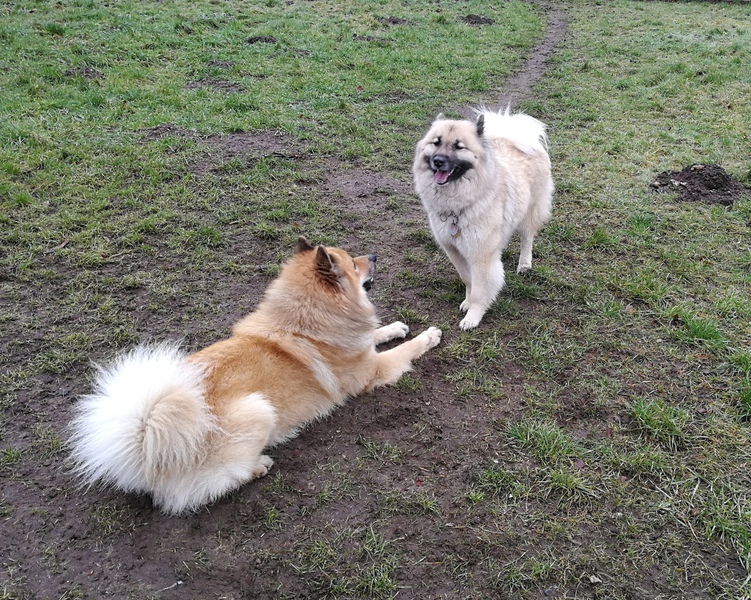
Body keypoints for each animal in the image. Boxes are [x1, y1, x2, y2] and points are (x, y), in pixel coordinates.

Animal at [68, 237, 442, 514]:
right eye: (353, 263)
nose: (374, 255)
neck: (304, 323)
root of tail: (146, 451)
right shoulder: (371, 370)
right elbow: (403, 351)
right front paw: (429, 336)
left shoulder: (362, 348)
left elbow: (376, 335)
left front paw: (395, 327)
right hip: (257, 409)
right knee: (203, 490)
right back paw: (257, 465)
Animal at [413, 109, 553, 329]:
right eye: (436, 143)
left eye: (459, 146)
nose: (438, 161)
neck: (457, 206)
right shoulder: (454, 250)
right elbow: (468, 280)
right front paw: (468, 301)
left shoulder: (481, 256)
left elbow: (480, 289)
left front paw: (473, 315)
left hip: (530, 212)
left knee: (527, 238)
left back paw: (524, 264)